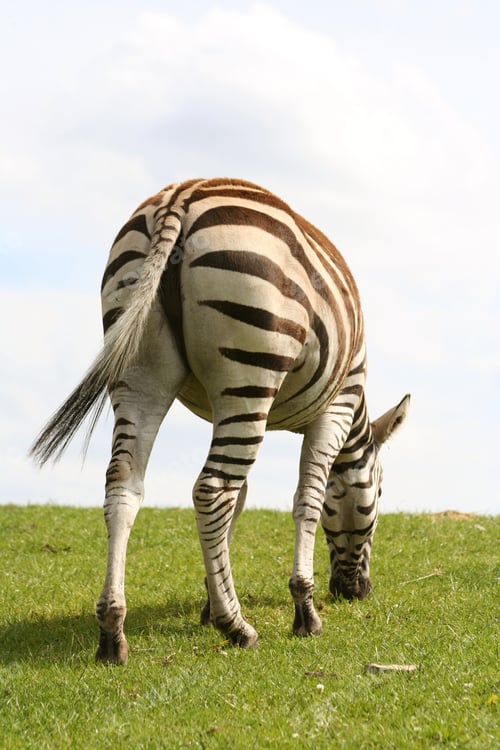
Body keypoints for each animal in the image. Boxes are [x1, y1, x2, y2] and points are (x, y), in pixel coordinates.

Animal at [31, 178, 409, 664]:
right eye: (379, 494)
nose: (356, 591)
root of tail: (180, 198)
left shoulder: (219, 408)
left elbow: (241, 502)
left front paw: (212, 604)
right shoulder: (335, 409)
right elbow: (305, 500)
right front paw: (302, 609)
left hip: (142, 374)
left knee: (125, 484)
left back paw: (113, 633)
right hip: (251, 372)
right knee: (212, 490)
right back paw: (239, 628)